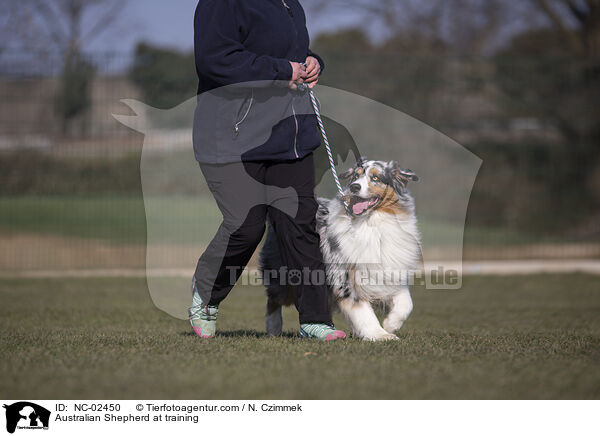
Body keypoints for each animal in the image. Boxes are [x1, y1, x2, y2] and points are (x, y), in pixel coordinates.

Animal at [258, 159, 422, 340]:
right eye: (356, 177)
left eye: (375, 178)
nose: (355, 187)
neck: (372, 223)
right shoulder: (345, 278)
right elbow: (364, 312)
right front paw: (379, 334)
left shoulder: (390, 272)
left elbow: (406, 303)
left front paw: (390, 325)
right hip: (284, 276)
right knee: (273, 299)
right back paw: (274, 329)